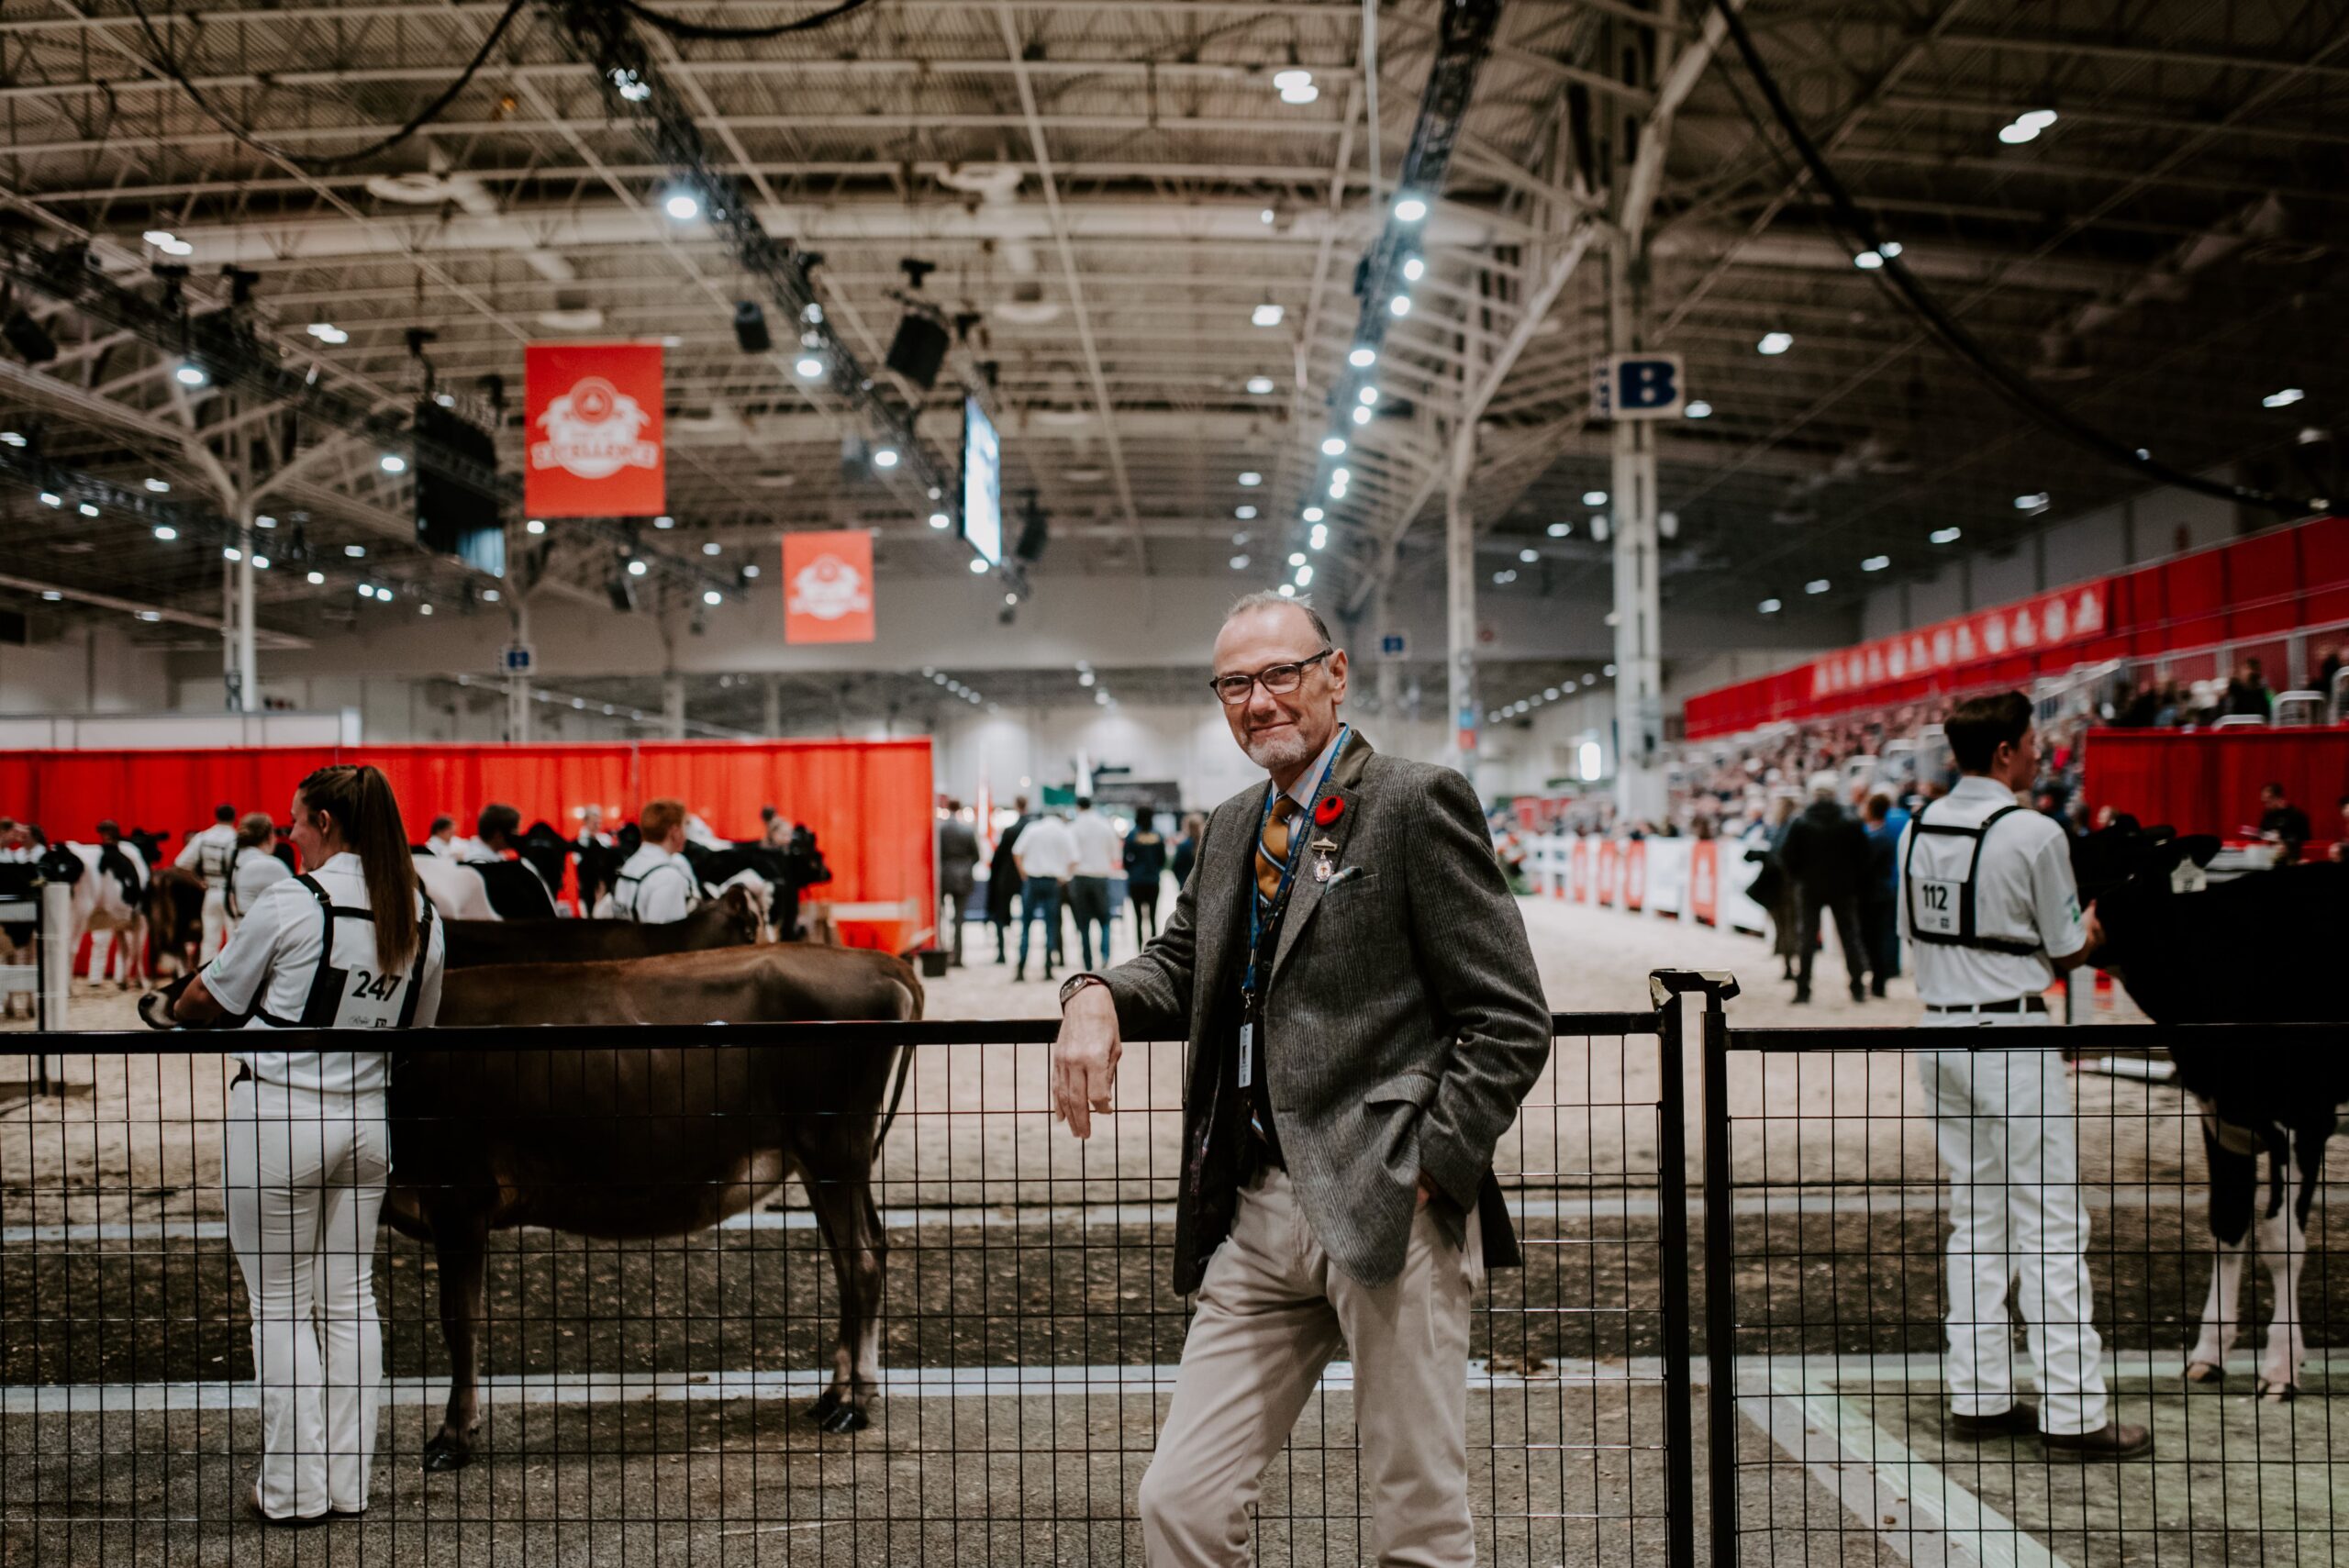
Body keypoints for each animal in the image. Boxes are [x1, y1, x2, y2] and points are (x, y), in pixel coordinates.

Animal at [2076, 826, 2349, 1398]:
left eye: (2110, 851)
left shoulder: (2304, 1118)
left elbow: (2280, 1241)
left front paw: (2281, 1367)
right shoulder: (2220, 1116)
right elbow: (2227, 1224)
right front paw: (2208, 1354)